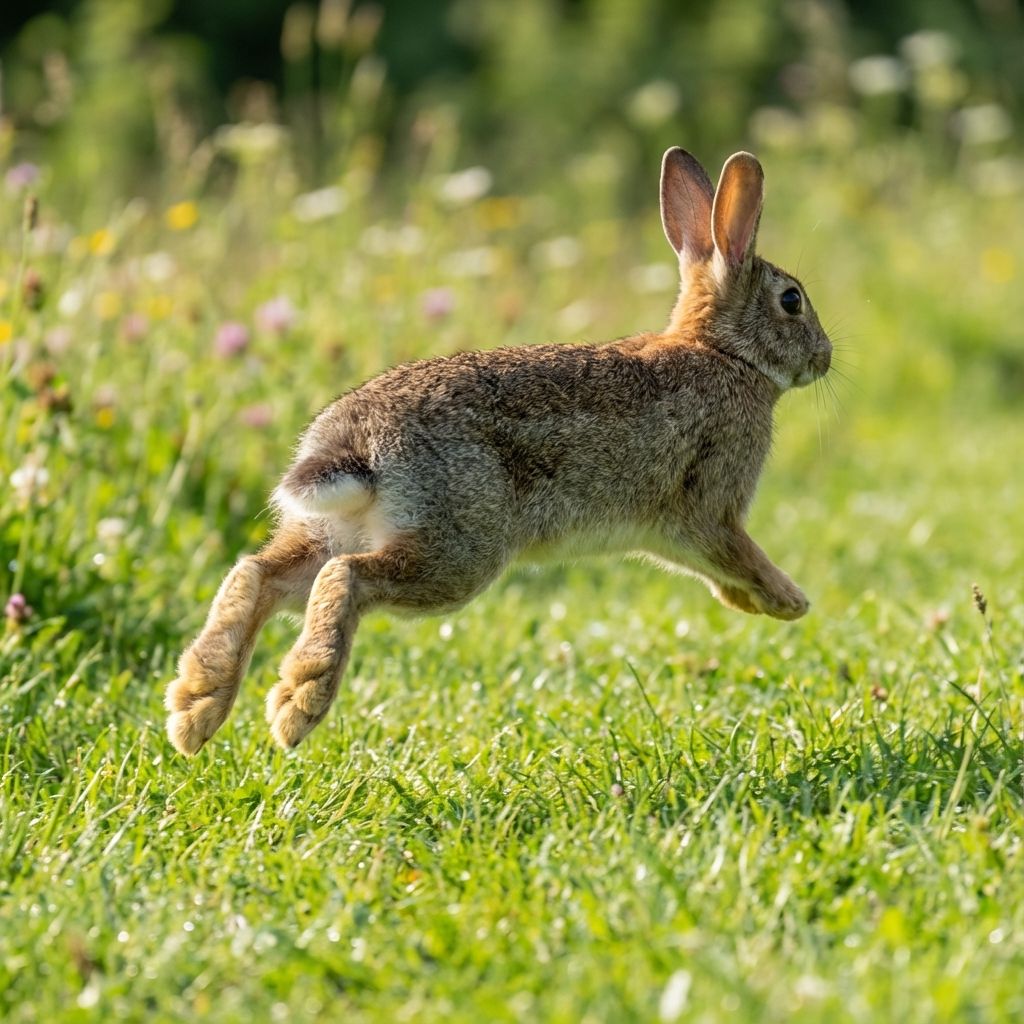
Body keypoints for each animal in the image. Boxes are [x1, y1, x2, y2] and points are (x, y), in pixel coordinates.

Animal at [165, 147, 832, 755]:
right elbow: (739, 552)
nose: (825, 357)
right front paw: (789, 602)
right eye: (791, 300)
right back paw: (300, 702)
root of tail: (355, 442)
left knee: (257, 572)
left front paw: (752, 602)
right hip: (461, 547)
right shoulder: (711, 508)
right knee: (345, 577)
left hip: (339, 528)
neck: (724, 353)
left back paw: (197, 706)